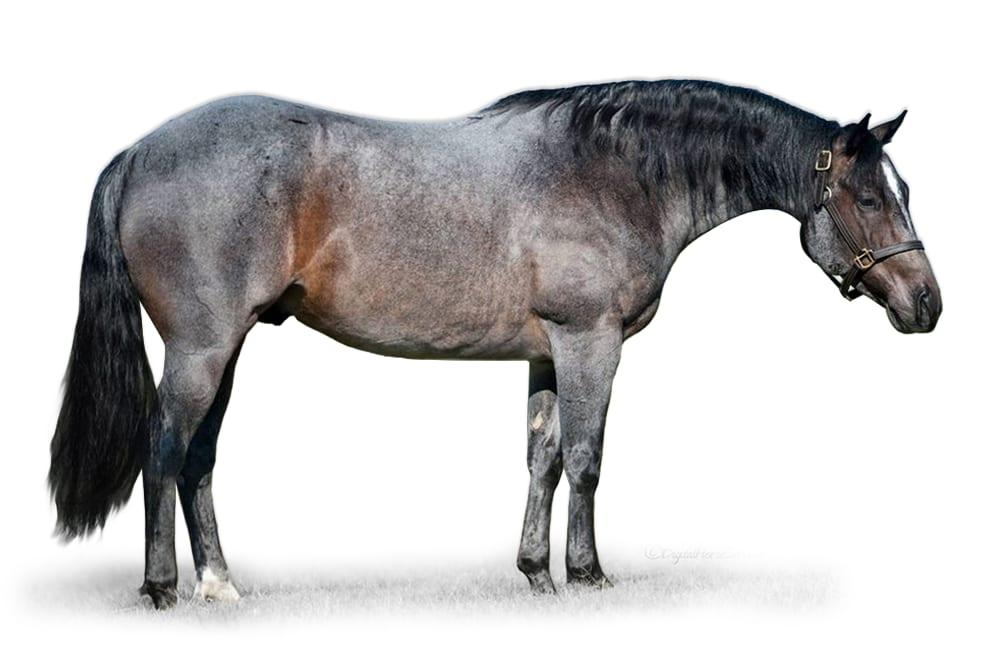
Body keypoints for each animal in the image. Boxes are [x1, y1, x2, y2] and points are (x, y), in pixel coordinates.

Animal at [48, 80, 941, 609]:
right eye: (869, 197)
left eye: (903, 190)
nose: (927, 304)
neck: (616, 171)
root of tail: (139, 152)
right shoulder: (591, 343)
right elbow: (586, 457)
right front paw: (588, 572)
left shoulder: (547, 352)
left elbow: (542, 458)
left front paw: (535, 571)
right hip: (200, 350)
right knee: (164, 451)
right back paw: (163, 586)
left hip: (226, 350)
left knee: (197, 459)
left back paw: (220, 585)